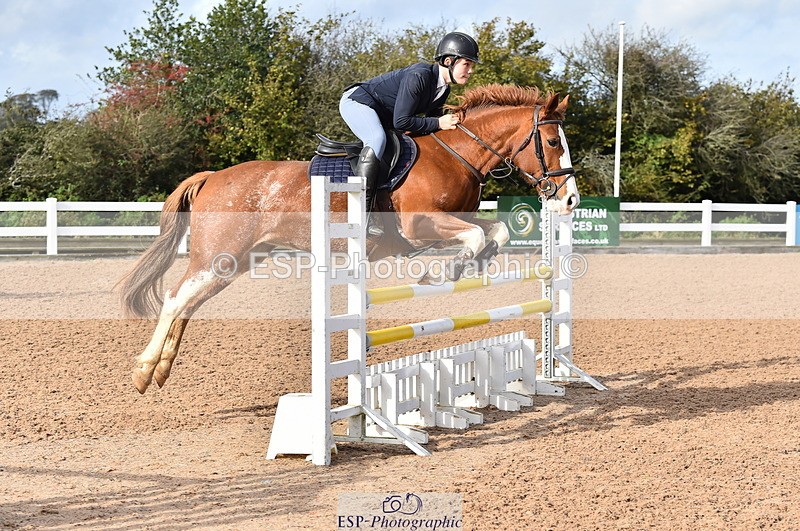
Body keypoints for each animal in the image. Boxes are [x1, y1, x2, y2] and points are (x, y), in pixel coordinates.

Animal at [118, 84, 580, 394]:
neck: (455, 154)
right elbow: (470, 236)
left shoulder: (444, 225)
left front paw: (473, 262)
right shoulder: (420, 225)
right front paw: (445, 272)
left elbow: (493, 231)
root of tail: (213, 176)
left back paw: (161, 371)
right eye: (552, 141)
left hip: (235, 263)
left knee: (187, 303)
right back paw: (142, 372)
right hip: (218, 257)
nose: (570, 200)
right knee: (175, 298)